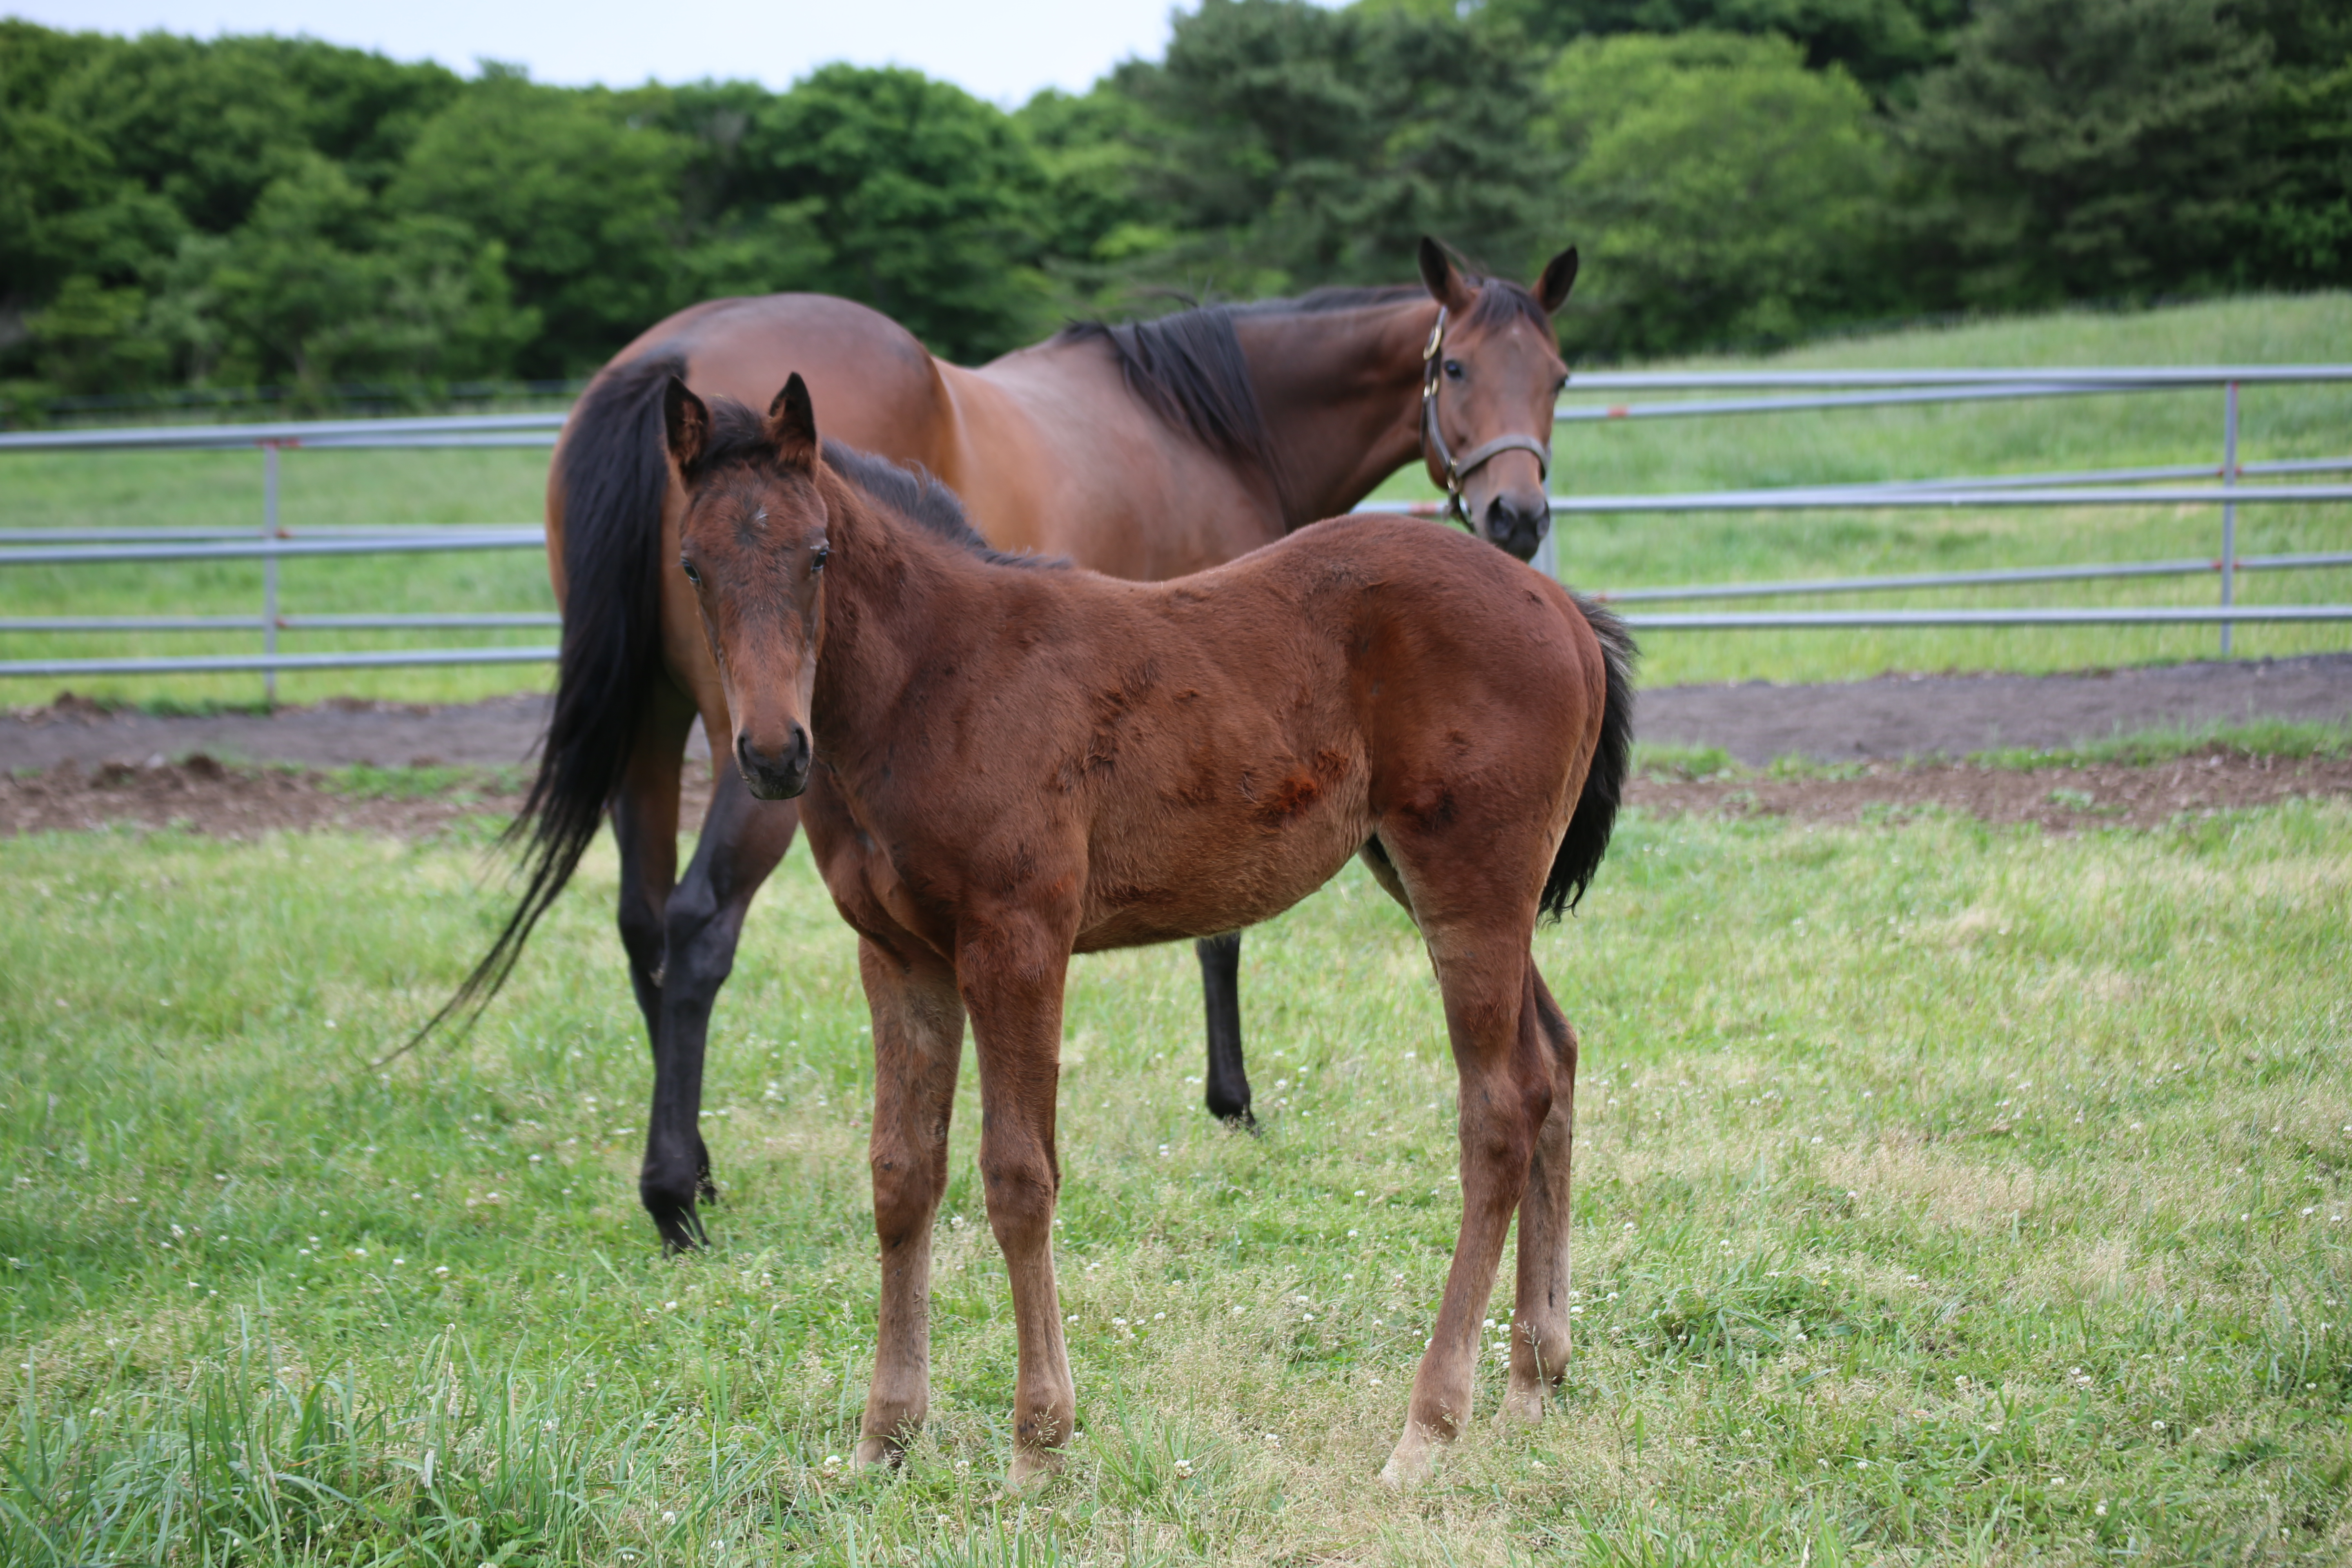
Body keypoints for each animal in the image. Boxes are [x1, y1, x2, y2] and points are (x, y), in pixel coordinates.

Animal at [437, 242, 1580, 1250]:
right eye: (1453, 367)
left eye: (1560, 376)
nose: (1515, 515)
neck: (1209, 425)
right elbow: (1218, 935)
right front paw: (1233, 1098)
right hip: (730, 746)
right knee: (697, 922)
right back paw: (676, 1193)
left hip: (657, 722)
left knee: (642, 920)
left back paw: (697, 1171)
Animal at [654, 374, 1627, 1495]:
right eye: (693, 564)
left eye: (817, 554)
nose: (773, 754)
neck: (935, 680)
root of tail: (1564, 611)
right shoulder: (899, 955)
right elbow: (902, 1175)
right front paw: (883, 1438)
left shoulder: (1018, 939)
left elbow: (1017, 1176)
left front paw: (1038, 1442)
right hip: (1440, 882)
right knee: (1553, 1060)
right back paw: (1533, 1379)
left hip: (1469, 884)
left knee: (1499, 1109)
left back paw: (1428, 1427)